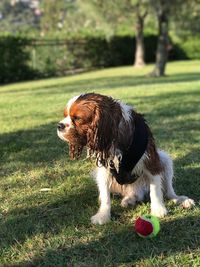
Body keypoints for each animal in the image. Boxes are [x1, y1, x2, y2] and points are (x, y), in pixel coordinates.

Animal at [57, 93, 195, 225]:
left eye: (77, 118)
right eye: (65, 115)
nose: (59, 125)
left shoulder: (151, 161)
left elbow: (155, 189)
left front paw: (158, 209)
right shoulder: (104, 170)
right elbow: (105, 196)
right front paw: (103, 215)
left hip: (165, 160)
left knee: (168, 192)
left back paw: (181, 200)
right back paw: (129, 200)